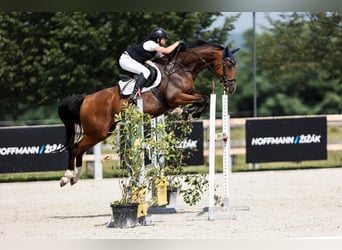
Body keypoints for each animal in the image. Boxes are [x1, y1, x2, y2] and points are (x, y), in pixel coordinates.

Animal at [58, 40, 239, 187]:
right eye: (229, 65)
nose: (232, 88)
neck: (181, 69)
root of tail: (86, 99)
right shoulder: (175, 97)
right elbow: (203, 98)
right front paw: (185, 111)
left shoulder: (185, 95)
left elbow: (204, 99)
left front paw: (188, 113)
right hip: (97, 131)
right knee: (75, 148)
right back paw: (66, 177)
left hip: (102, 132)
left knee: (80, 149)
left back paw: (75, 177)